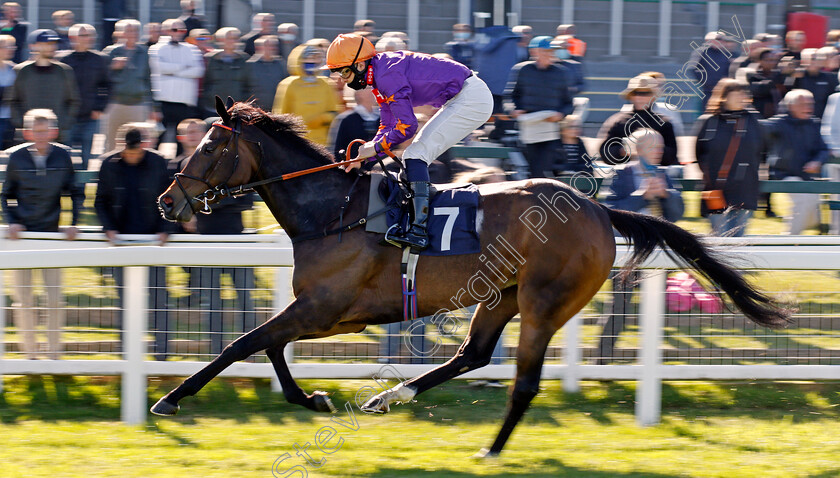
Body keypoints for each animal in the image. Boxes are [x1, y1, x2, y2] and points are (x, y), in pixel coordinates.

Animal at [154, 99, 792, 458]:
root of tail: (597, 209)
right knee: (473, 354)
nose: (167, 201)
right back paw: (388, 397)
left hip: (544, 301)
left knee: (523, 381)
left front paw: (170, 399)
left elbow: (244, 343)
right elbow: (266, 347)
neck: (332, 210)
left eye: (209, 147)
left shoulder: (327, 310)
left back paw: (489, 450)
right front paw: (312, 397)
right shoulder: (318, 311)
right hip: (499, 295)